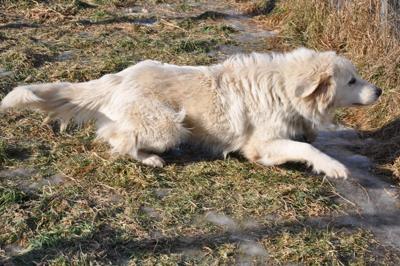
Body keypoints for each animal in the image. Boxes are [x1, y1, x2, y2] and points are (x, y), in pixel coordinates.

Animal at [0, 47, 382, 179]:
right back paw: (151, 159)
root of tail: (118, 77)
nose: (379, 91)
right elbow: (305, 148)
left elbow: (304, 140)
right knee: (118, 140)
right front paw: (333, 167)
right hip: (170, 126)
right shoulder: (260, 145)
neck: (284, 89)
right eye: (352, 80)